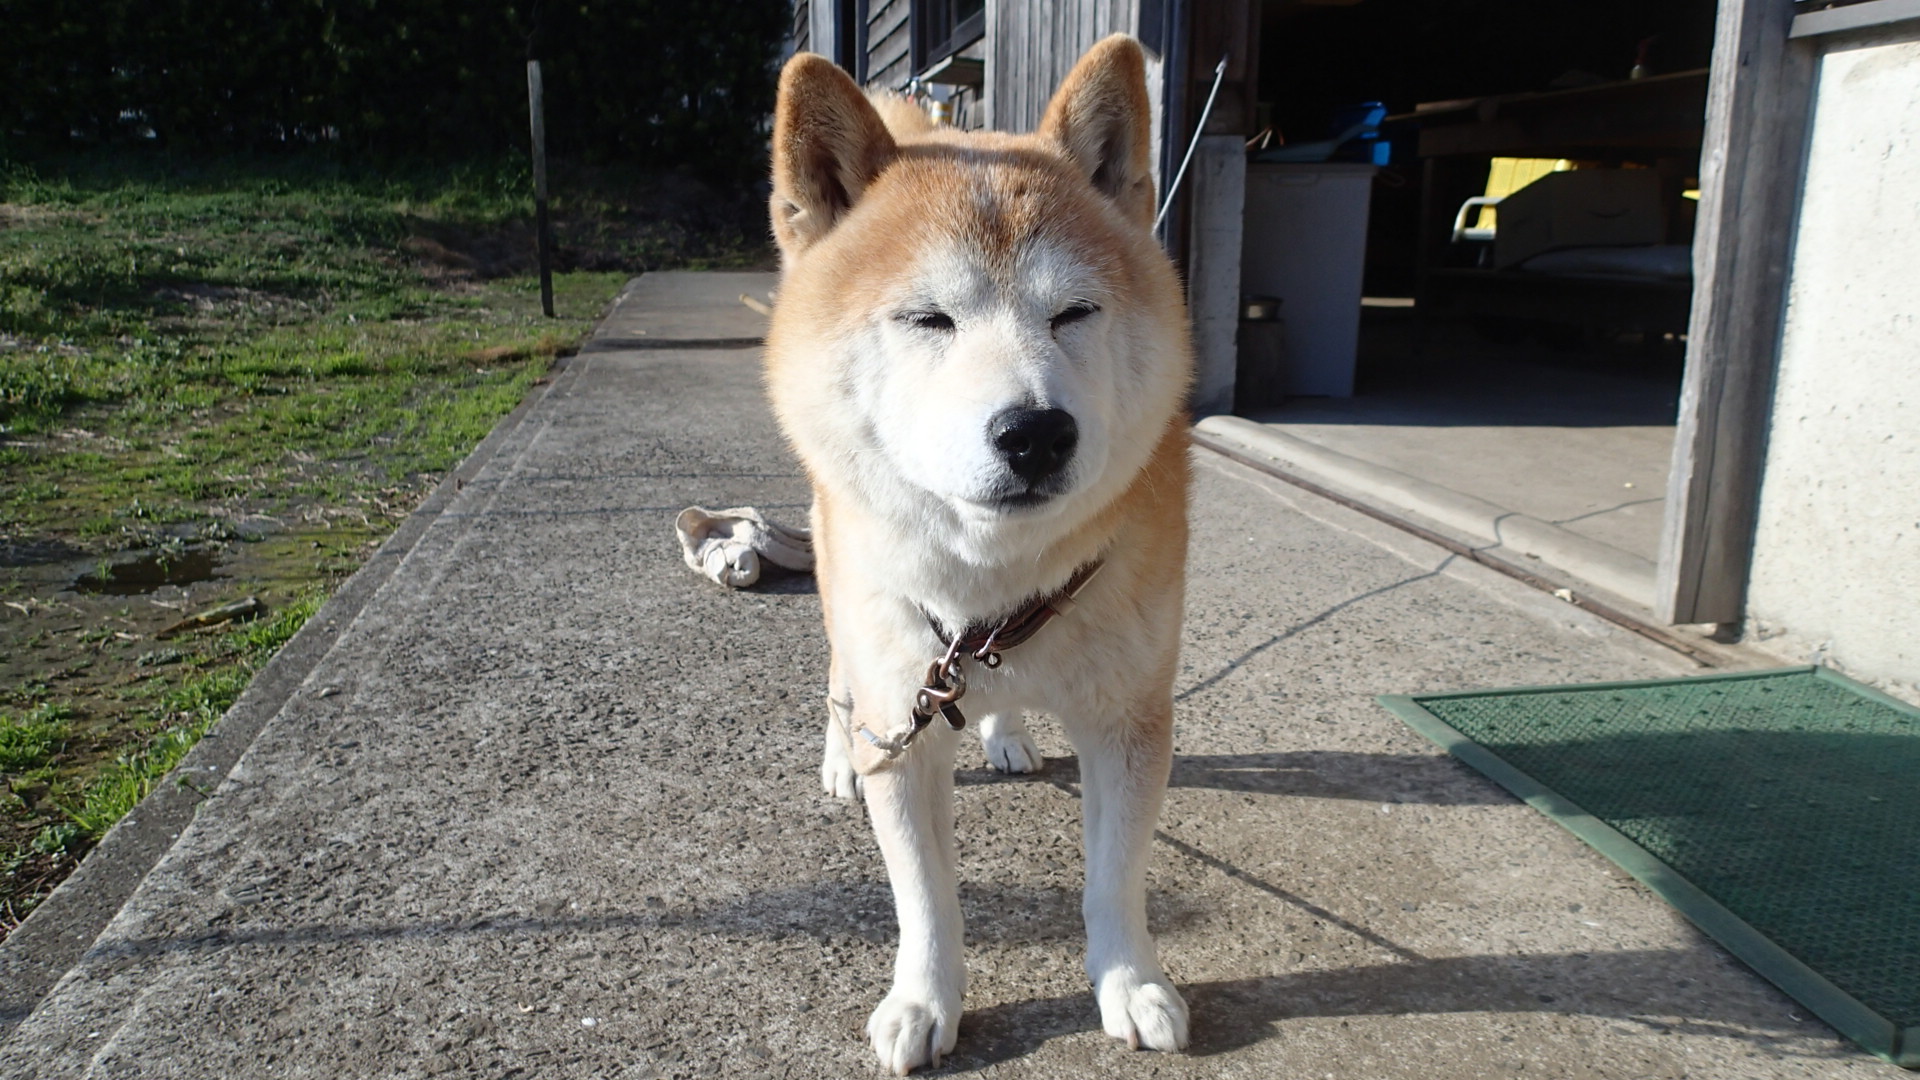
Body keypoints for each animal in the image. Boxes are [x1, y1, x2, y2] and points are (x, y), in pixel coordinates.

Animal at [763, 35, 1194, 1074]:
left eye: (1074, 313)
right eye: (928, 319)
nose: (1035, 432)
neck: (999, 585)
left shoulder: (1130, 718)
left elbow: (1115, 877)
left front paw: (1131, 982)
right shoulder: (903, 714)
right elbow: (925, 899)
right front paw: (926, 1001)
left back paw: (1002, 731)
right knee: (837, 674)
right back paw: (842, 757)